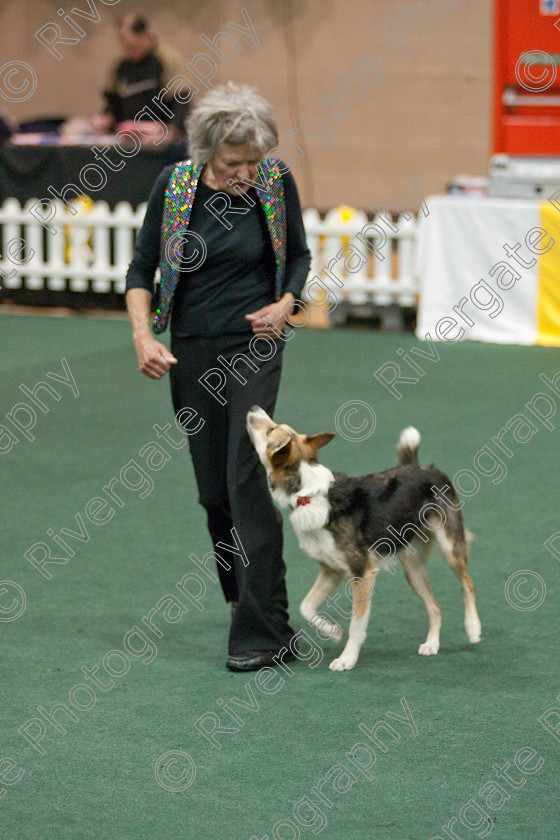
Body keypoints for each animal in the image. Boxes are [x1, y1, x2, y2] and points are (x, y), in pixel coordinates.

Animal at [247, 406, 484, 668]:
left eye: (270, 430)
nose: (254, 409)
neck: (307, 494)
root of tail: (424, 468)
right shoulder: (332, 570)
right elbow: (305, 606)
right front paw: (333, 632)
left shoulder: (362, 574)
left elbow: (356, 626)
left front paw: (346, 659)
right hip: (412, 568)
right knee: (435, 607)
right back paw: (432, 644)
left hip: (450, 546)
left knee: (468, 583)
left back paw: (473, 628)